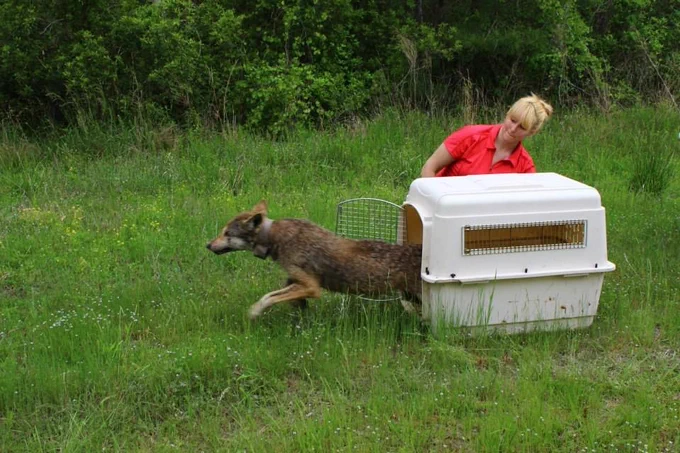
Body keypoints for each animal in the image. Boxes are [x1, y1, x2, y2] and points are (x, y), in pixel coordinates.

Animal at [206, 200, 422, 319]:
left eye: (226, 233)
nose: (208, 245)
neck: (275, 238)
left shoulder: (312, 287)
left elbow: (267, 298)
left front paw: (253, 313)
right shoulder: (296, 281)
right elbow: (275, 295)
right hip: (410, 297)